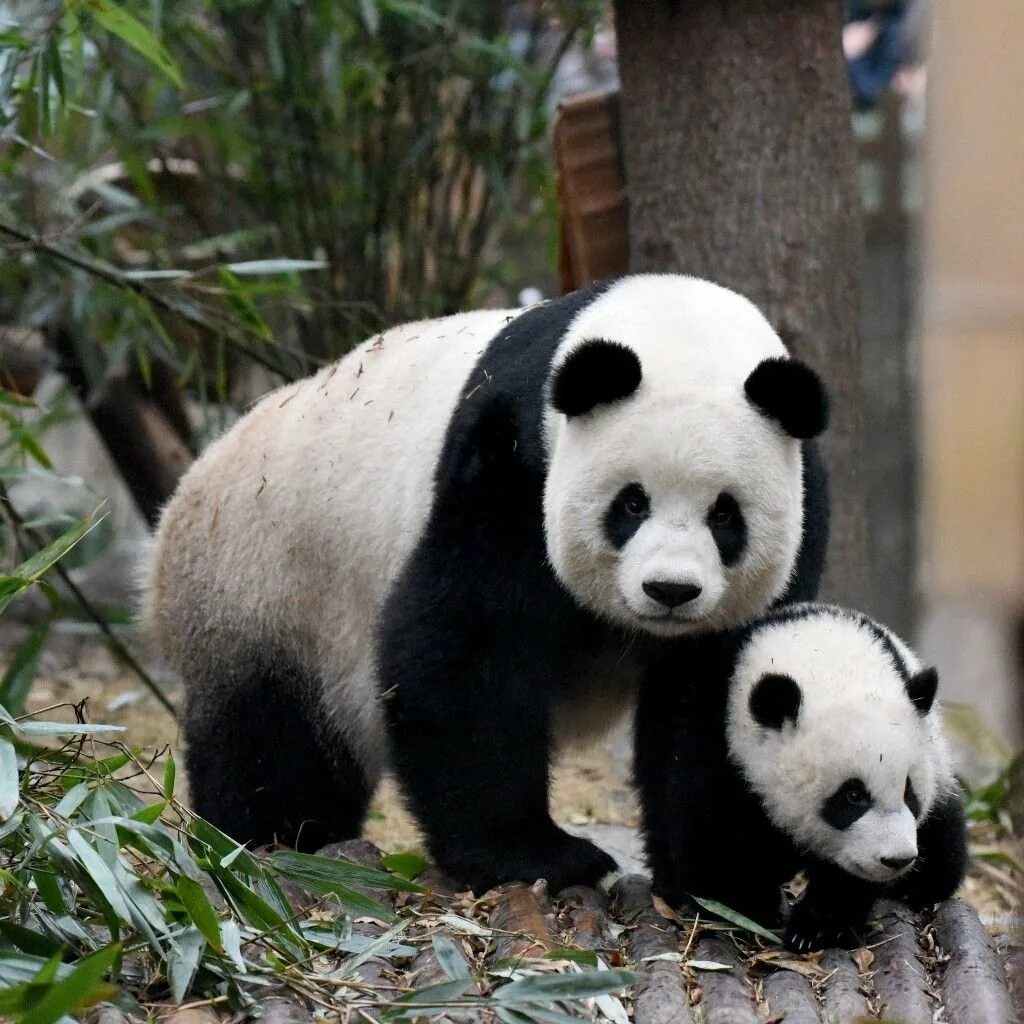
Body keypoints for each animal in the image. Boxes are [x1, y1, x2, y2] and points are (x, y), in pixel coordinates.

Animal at [144, 276, 831, 892]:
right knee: (272, 740)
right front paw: (537, 858)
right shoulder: (511, 457)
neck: (674, 323)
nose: (670, 591)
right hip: (266, 589)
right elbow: (468, 648)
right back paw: (272, 835)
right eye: (632, 504)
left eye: (725, 516)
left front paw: (715, 874)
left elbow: (716, 692)